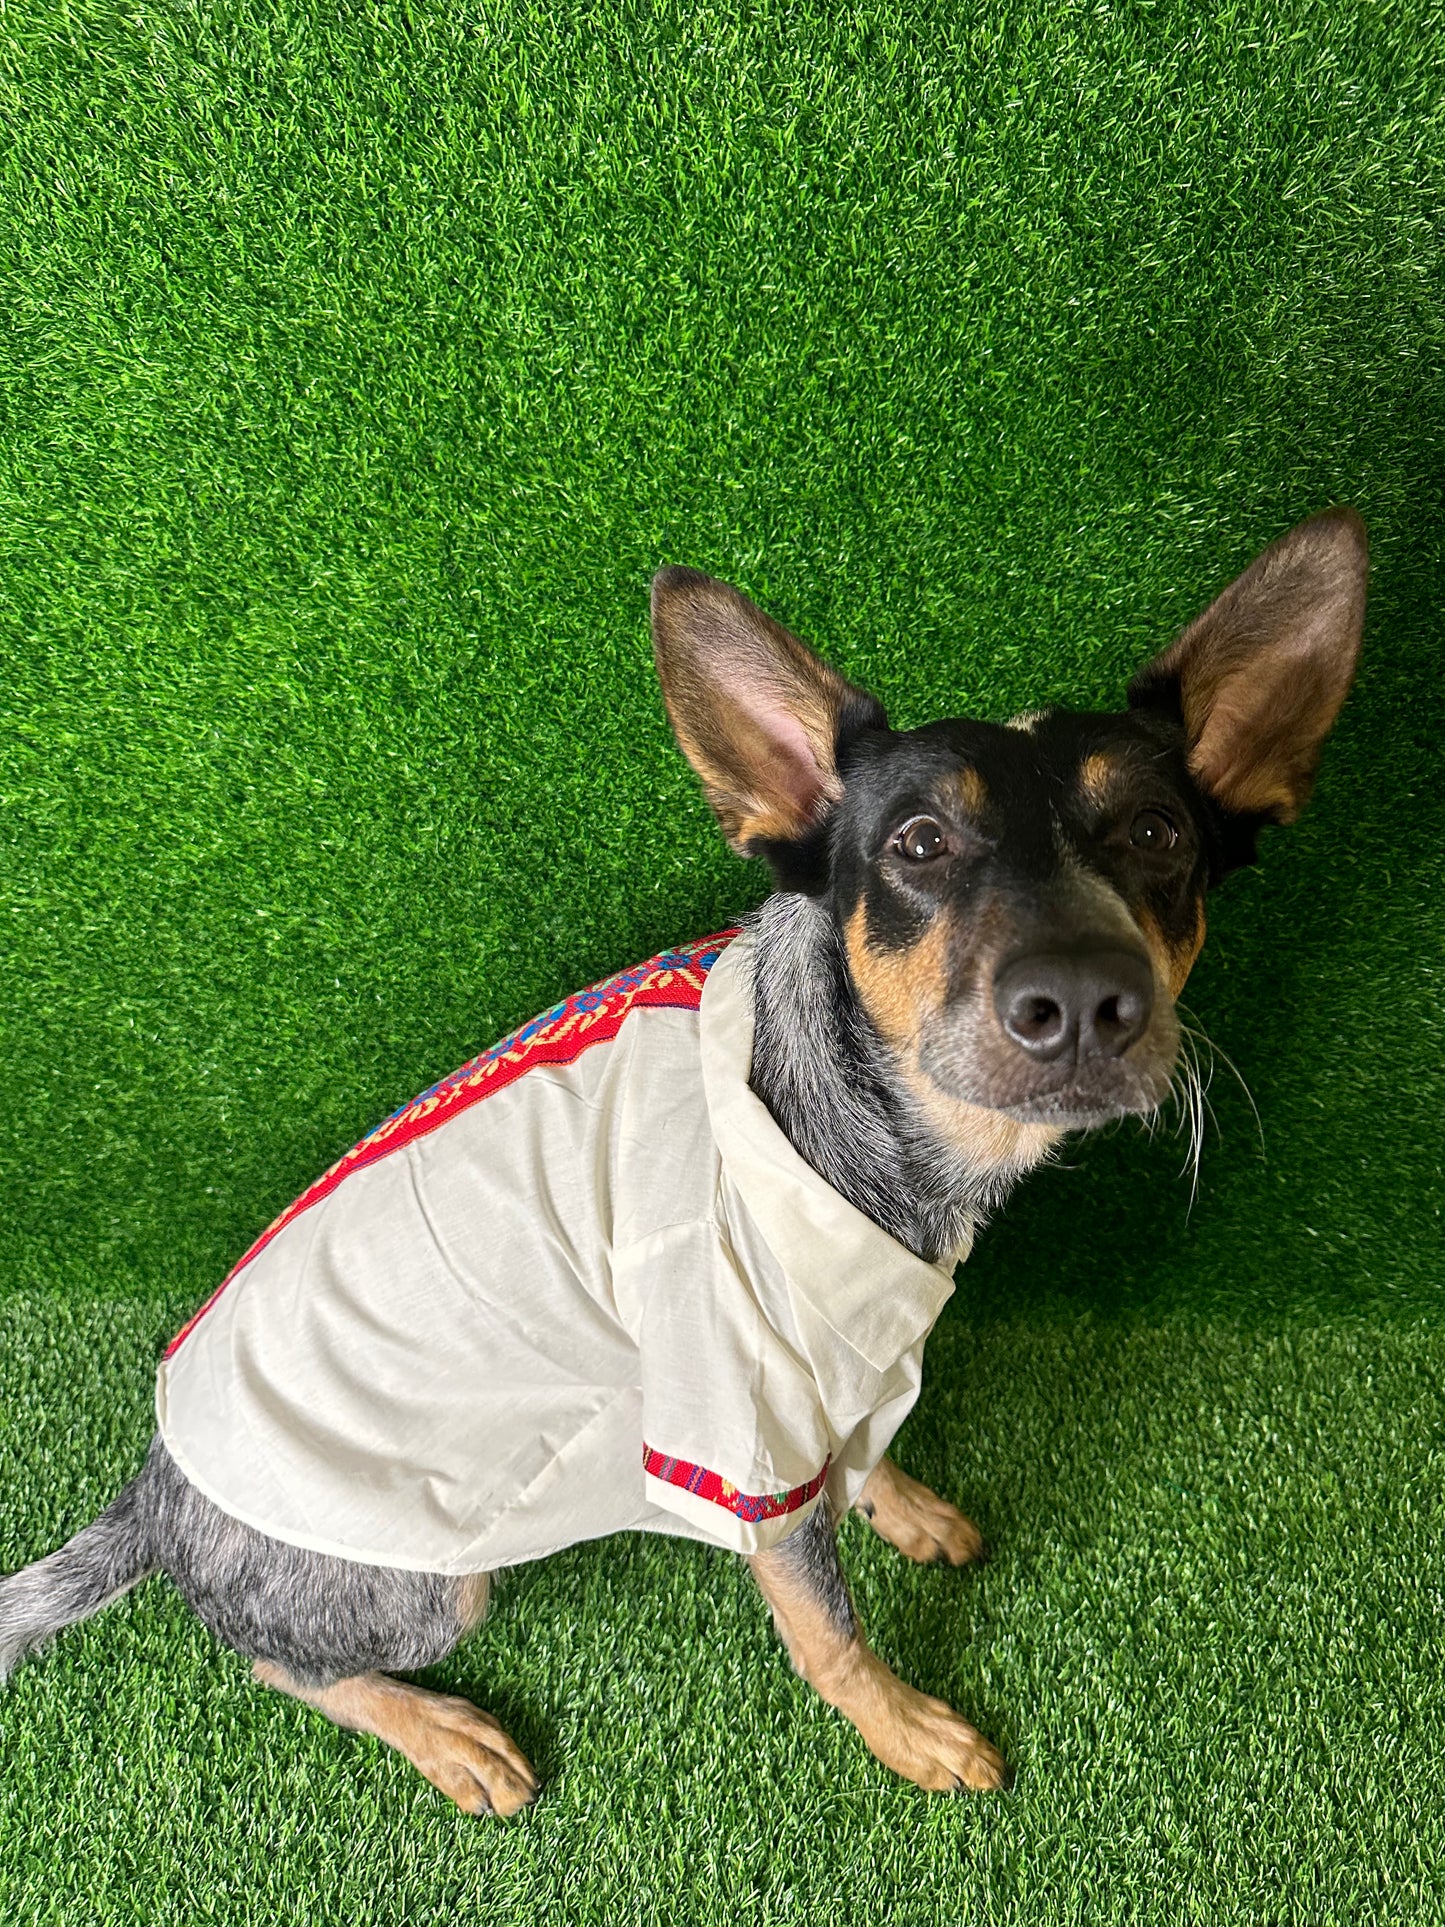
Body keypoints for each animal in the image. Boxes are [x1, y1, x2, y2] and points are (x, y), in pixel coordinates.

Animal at [0, 508, 1371, 1803]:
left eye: (1153, 829)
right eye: (917, 844)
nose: (1083, 1000)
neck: (875, 1125)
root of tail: (156, 1489)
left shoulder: (840, 1360)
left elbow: (865, 1456)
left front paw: (905, 1510)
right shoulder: (737, 1416)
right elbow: (825, 1626)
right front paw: (906, 1729)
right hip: (427, 1587)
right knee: (270, 1655)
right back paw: (442, 1732)